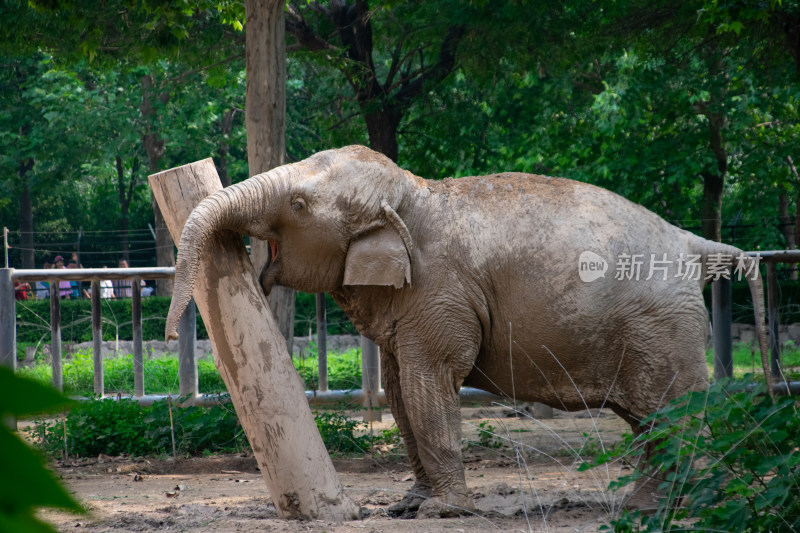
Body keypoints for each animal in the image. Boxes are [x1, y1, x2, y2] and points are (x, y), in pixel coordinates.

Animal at [166, 144, 772, 516]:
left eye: (297, 204)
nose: (171, 336)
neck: (413, 193)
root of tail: (691, 243)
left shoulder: (441, 291)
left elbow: (430, 381)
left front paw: (442, 510)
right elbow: (400, 390)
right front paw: (408, 506)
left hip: (663, 327)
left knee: (674, 413)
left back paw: (690, 506)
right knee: (647, 421)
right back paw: (647, 507)